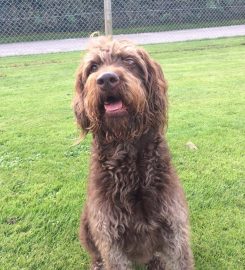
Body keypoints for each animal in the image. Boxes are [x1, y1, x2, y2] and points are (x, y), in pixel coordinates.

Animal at [72, 38, 193, 270]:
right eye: (93, 67)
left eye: (129, 61)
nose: (107, 79)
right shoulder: (110, 239)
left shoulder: (174, 228)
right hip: (86, 225)